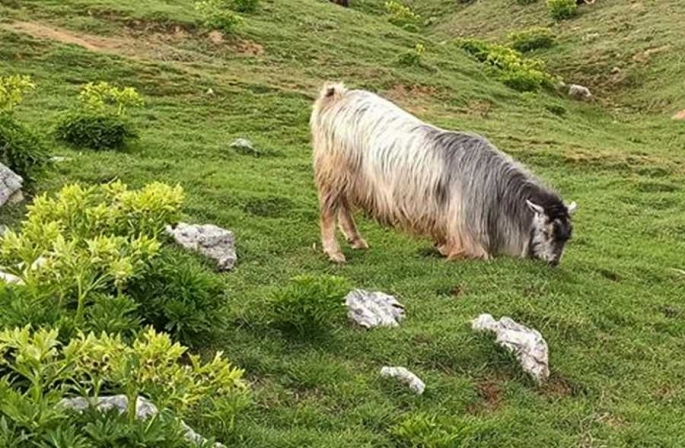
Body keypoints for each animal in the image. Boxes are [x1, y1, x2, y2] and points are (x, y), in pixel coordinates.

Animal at [312, 83, 576, 266]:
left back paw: (356, 240)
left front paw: (440, 246)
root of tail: (336, 96)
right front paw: (447, 251)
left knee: (343, 204)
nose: (554, 262)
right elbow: (475, 254)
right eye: (547, 231)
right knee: (329, 209)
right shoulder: (466, 229)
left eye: (567, 236)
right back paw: (335, 252)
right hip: (333, 169)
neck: (494, 186)